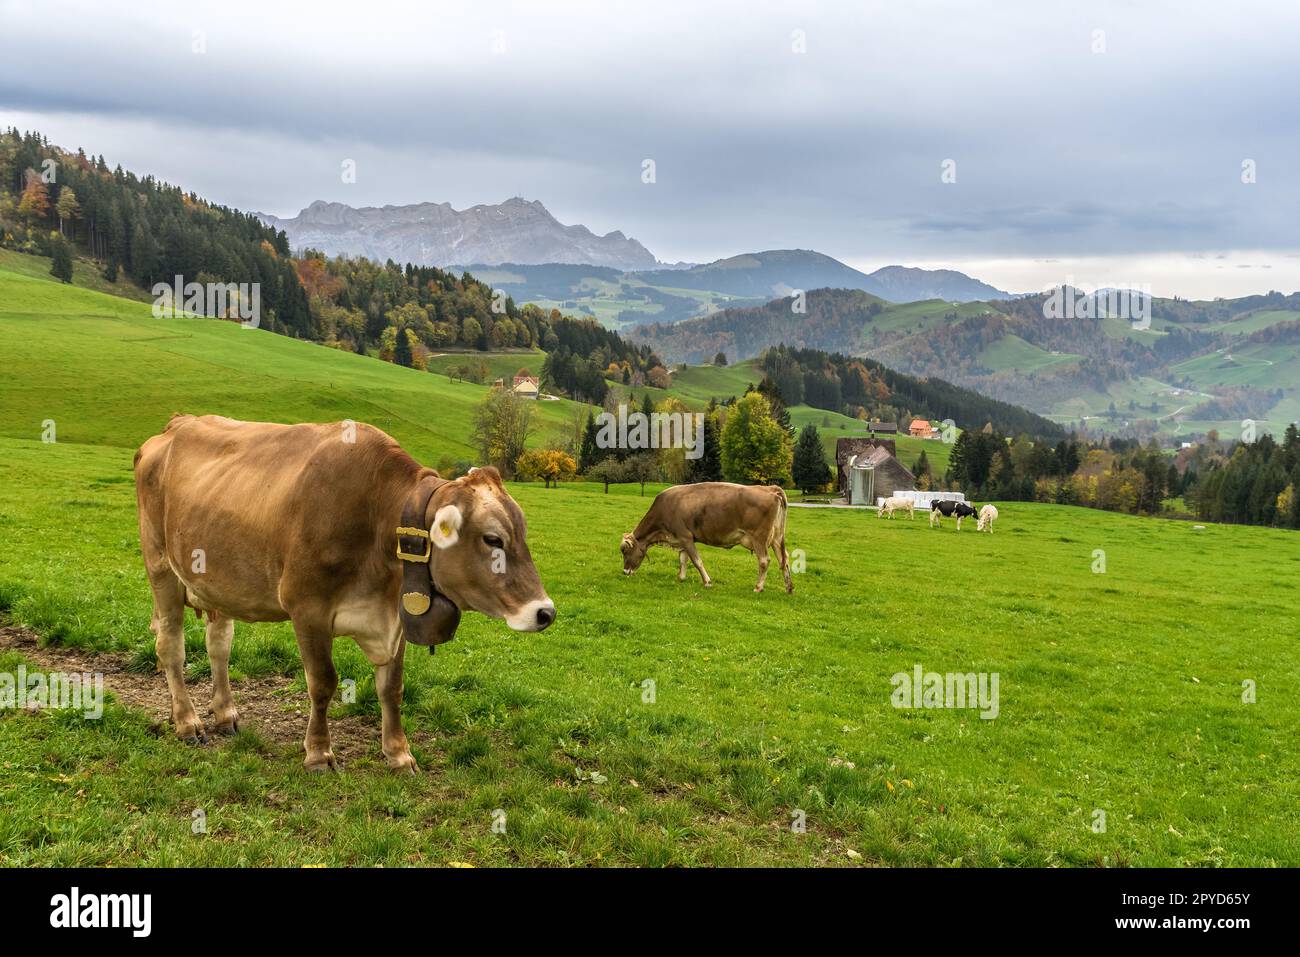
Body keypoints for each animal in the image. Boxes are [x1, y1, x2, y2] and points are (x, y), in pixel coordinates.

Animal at [133, 416, 553, 774]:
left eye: (522, 532)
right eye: (493, 539)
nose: (544, 612)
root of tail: (176, 424)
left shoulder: (396, 616)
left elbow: (392, 688)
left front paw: (399, 754)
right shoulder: (307, 609)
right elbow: (323, 683)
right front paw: (319, 754)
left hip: (215, 581)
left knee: (219, 644)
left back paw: (224, 713)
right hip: (161, 567)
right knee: (170, 646)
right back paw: (187, 721)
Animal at [621, 486, 790, 590]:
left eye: (625, 551)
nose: (624, 571)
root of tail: (770, 489)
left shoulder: (686, 537)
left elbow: (697, 561)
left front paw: (707, 582)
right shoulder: (681, 539)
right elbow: (683, 559)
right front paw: (681, 577)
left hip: (759, 538)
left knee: (764, 561)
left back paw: (758, 587)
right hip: (776, 538)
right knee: (784, 559)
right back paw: (789, 587)